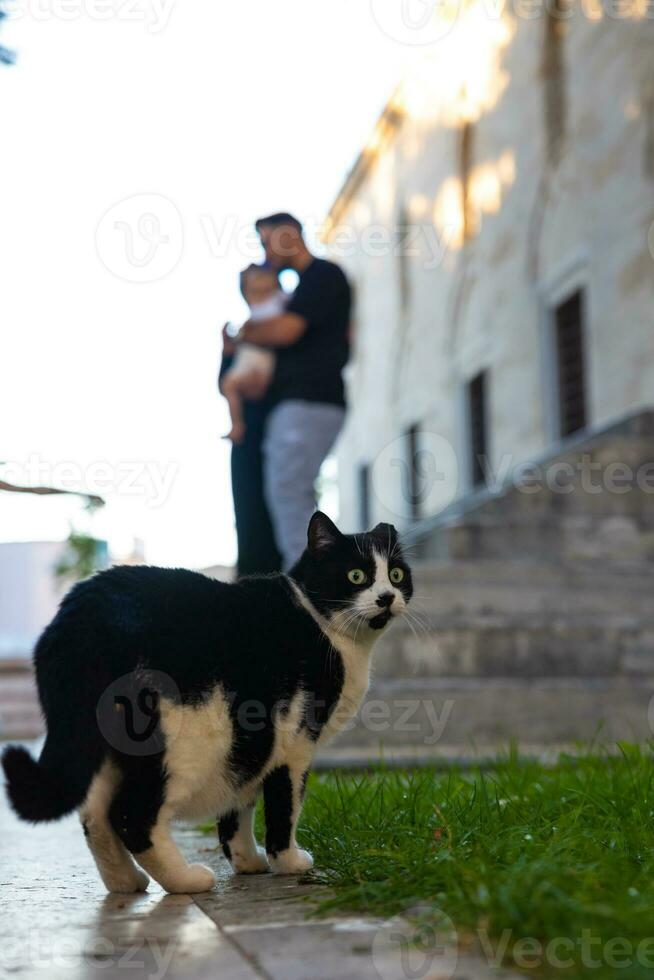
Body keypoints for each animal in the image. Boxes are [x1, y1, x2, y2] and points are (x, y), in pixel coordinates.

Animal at [2, 512, 412, 896]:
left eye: (395, 574)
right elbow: (285, 805)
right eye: (356, 576)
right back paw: (186, 880)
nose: (387, 597)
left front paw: (247, 861)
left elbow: (239, 802)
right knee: (132, 815)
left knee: (95, 816)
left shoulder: (254, 745)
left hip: (104, 747)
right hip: (187, 738)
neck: (329, 630)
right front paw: (288, 862)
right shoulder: (295, 744)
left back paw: (126, 883)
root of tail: (80, 619)